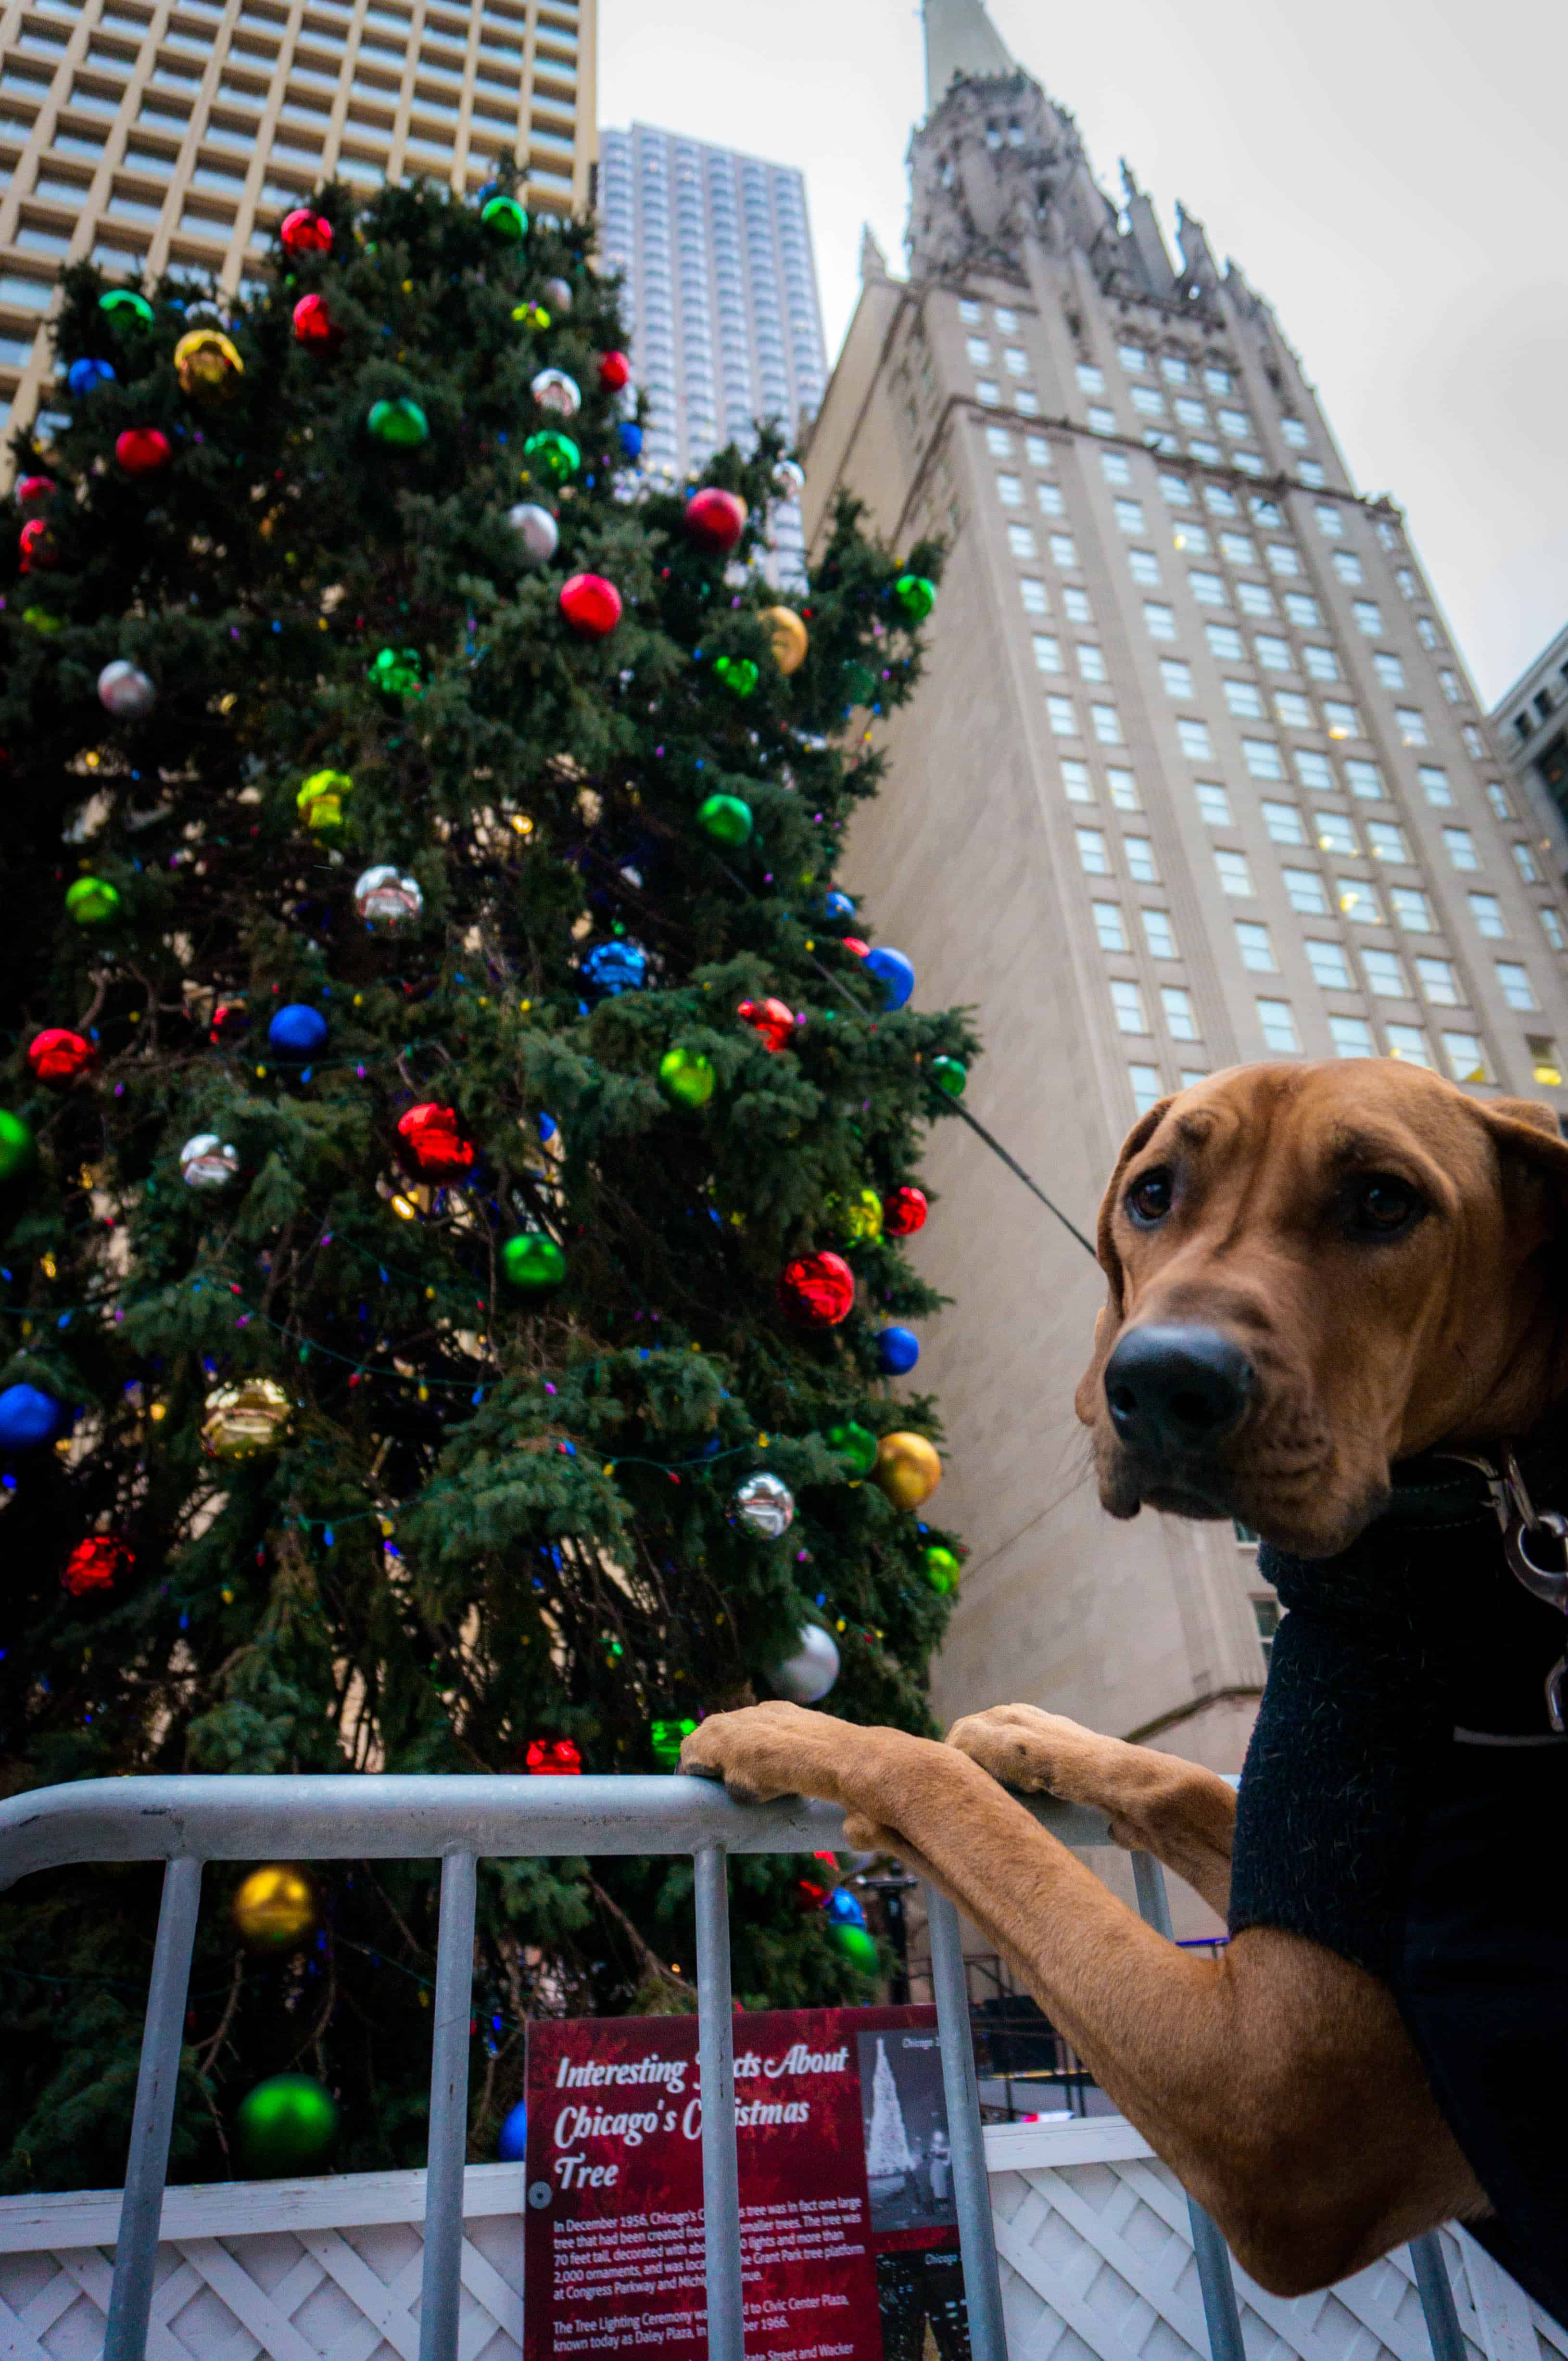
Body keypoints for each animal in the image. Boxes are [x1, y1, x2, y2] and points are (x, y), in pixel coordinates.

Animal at [689, 1067, 1568, 2304]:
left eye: (1382, 1202)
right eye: (1152, 1194)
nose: (1155, 1382)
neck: (1474, 1517)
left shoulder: (1274, 2101)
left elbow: (953, 1800)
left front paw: (781, 1730)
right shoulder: (1289, 1844)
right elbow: (1170, 1779)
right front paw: (1024, 1733)